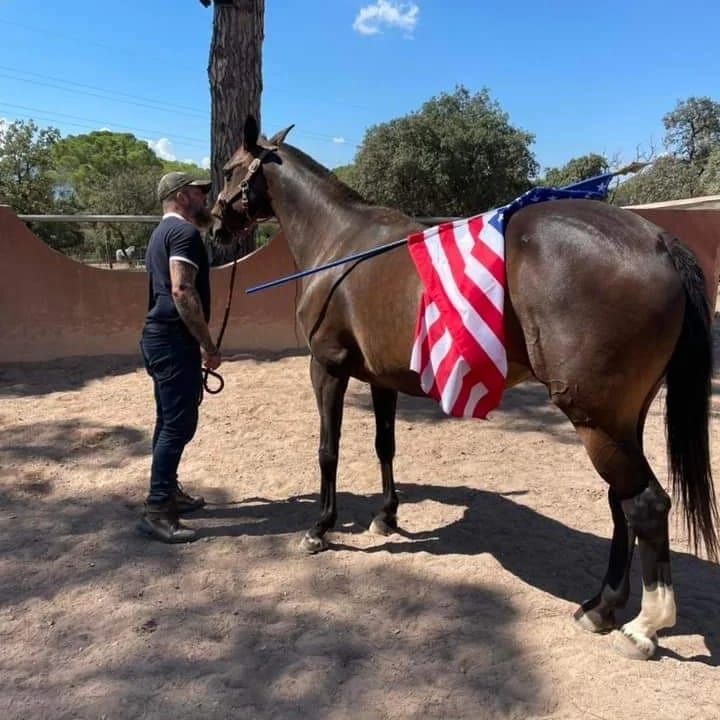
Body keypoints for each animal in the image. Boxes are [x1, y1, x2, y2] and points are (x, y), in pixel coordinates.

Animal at [211, 115, 716, 660]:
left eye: (228, 169)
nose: (215, 225)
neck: (341, 245)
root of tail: (657, 239)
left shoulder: (327, 367)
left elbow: (329, 449)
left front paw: (319, 528)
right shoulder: (381, 379)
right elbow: (384, 445)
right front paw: (386, 516)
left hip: (596, 420)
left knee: (644, 504)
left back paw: (645, 625)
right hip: (620, 421)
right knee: (620, 502)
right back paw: (600, 607)